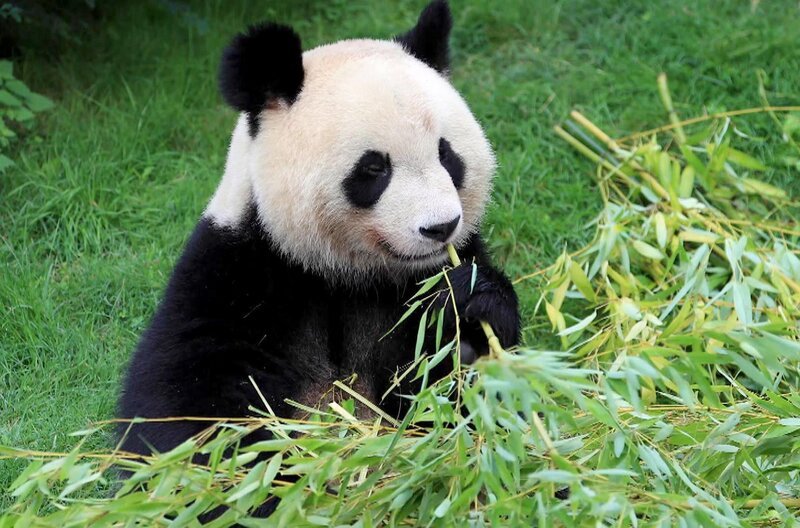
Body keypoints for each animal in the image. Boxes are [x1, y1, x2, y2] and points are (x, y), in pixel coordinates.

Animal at [118, 0, 520, 461]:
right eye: (374, 168)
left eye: (446, 154)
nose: (441, 227)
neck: (342, 272)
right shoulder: (235, 274)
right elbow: (185, 401)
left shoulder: (421, 282)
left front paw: (470, 309)